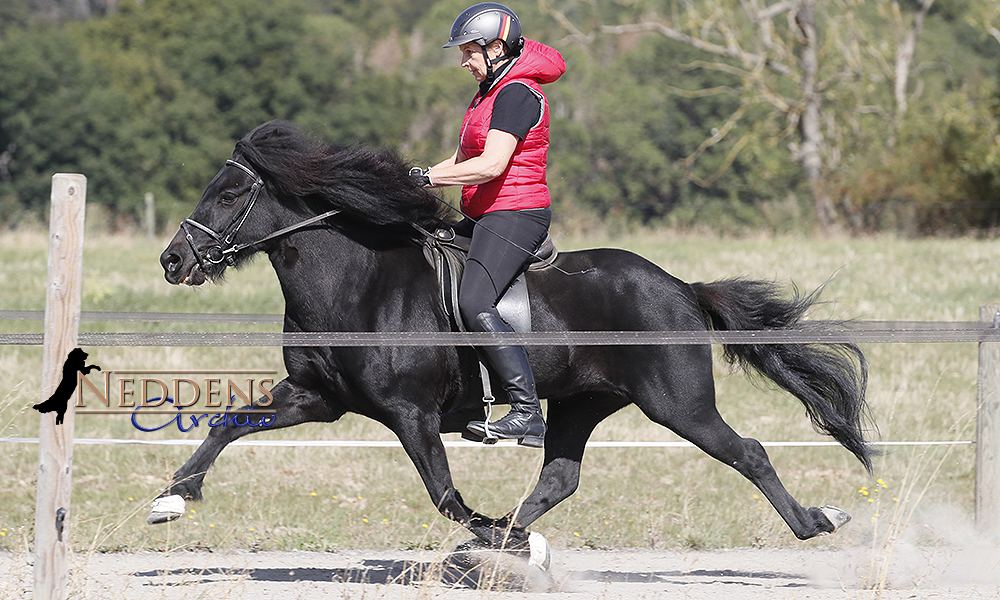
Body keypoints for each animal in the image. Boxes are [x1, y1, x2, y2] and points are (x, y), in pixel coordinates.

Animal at [156, 122, 876, 556]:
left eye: (228, 195)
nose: (172, 261)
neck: (356, 283)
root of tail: (679, 286)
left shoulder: (410, 413)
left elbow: (445, 495)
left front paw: (482, 530)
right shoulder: (315, 397)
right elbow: (227, 423)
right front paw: (171, 498)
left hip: (680, 403)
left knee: (747, 451)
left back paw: (816, 522)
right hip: (584, 401)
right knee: (558, 477)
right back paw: (512, 536)